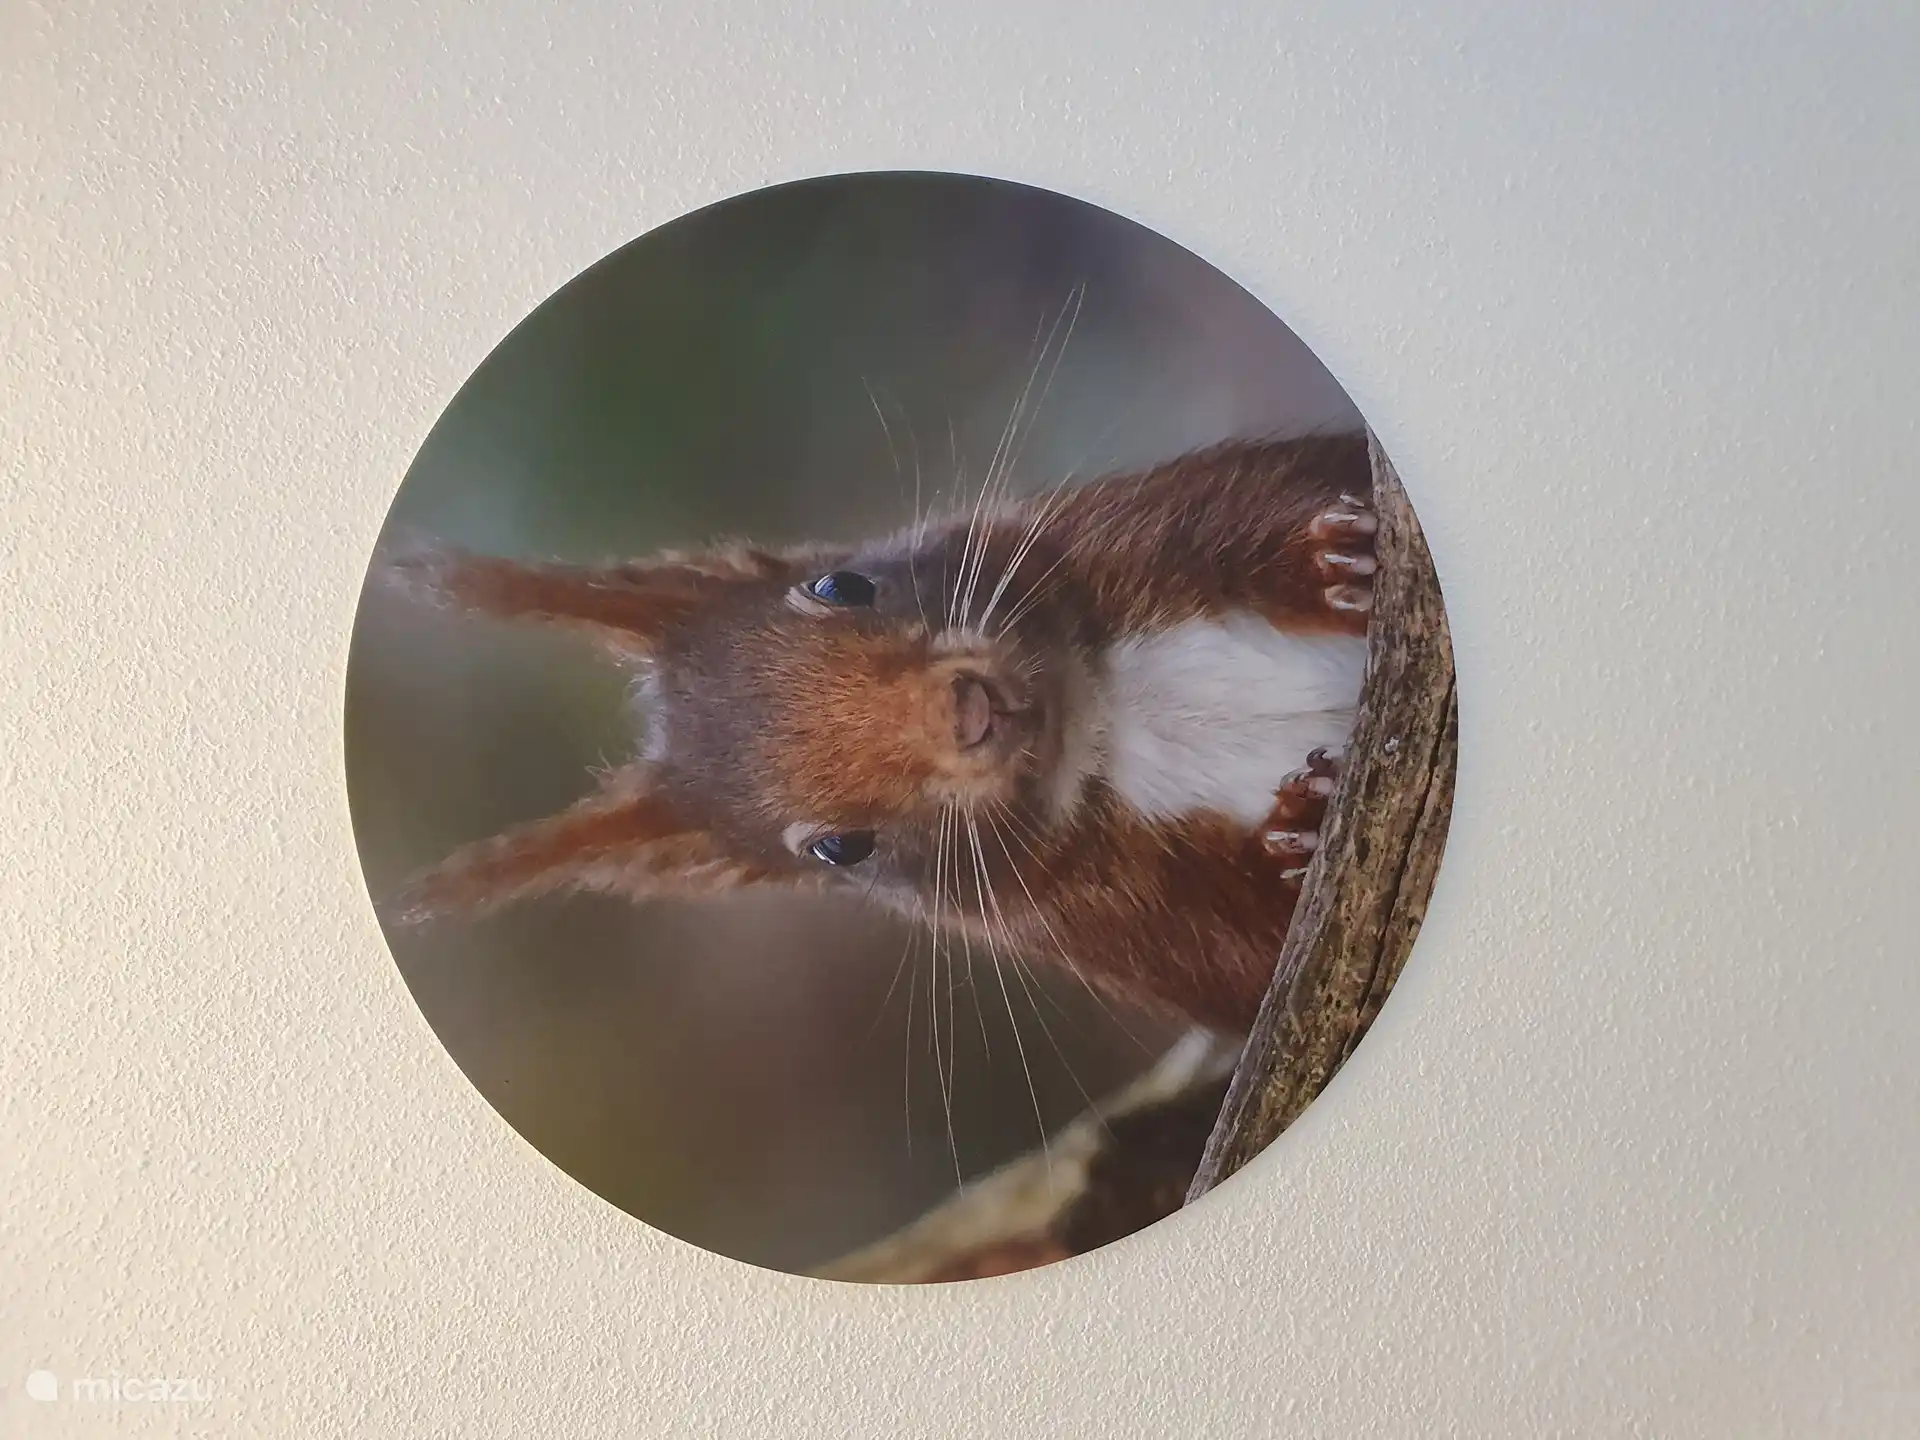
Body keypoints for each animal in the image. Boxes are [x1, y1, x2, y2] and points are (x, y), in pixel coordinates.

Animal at [377, 430, 1378, 1035]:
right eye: (837, 848)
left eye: (838, 584)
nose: (968, 710)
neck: (1117, 718)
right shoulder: (1136, 926)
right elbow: (1260, 961)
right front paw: (1301, 824)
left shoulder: (1150, 523)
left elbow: (1280, 500)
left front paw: (1341, 560)